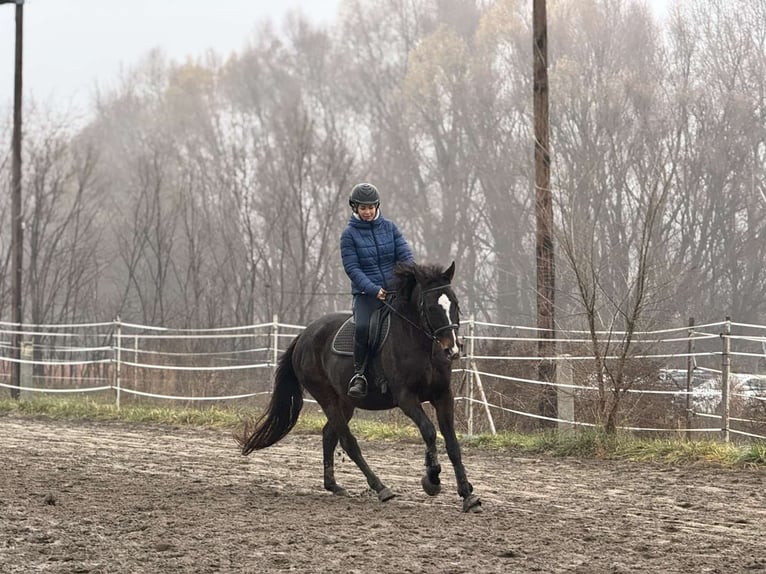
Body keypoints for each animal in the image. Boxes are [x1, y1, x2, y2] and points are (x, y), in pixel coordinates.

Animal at [237, 264, 484, 516]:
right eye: (432, 307)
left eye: (455, 304)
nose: (452, 349)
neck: (420, 345)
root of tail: (304, 335)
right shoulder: (407, 398)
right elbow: (429, 431)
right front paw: (432, 479)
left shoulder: (443, 396)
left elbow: (452, 444)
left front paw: (467, 494)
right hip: (327, 399)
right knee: (348, 442)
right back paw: (380, 488)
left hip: (345, 402)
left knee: (329, 435)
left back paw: (334, 485)